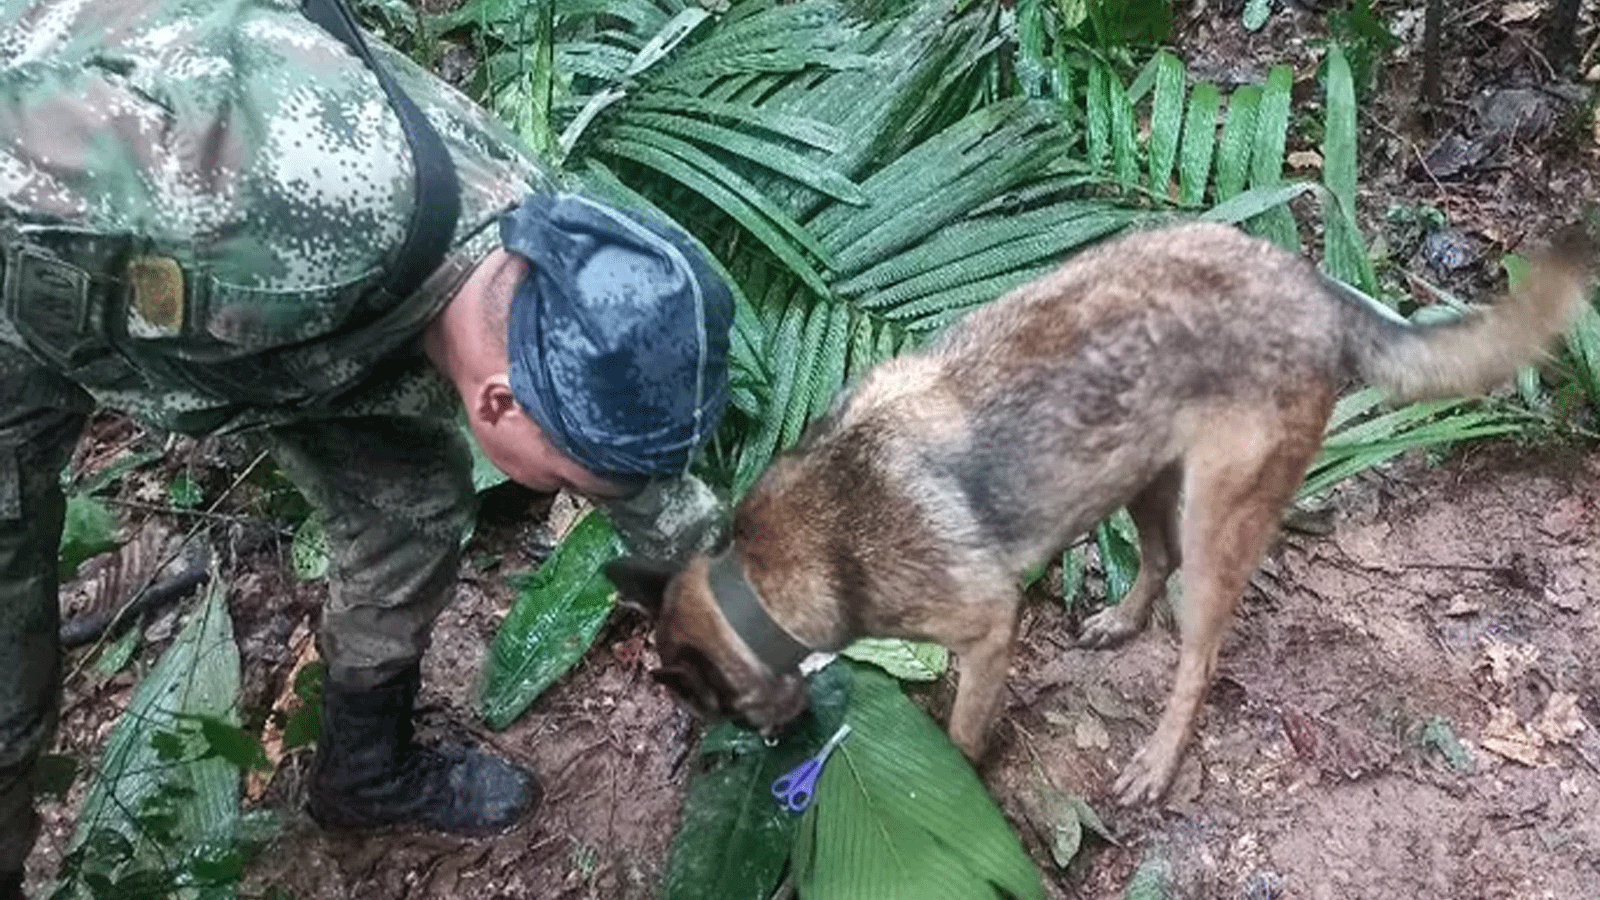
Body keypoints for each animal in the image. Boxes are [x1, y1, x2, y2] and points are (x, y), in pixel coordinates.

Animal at [604, 220, 1593, 800]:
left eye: (721, 714)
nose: (775, 746)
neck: (767, 573)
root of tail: (1313, 285)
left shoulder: (986, 629)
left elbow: (962, 732)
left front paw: (951, 780)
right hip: (1141, 475)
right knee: (1154, 558)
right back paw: (1120, 620)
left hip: (1216, 517)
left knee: (1198, 653)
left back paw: (1157, 759)